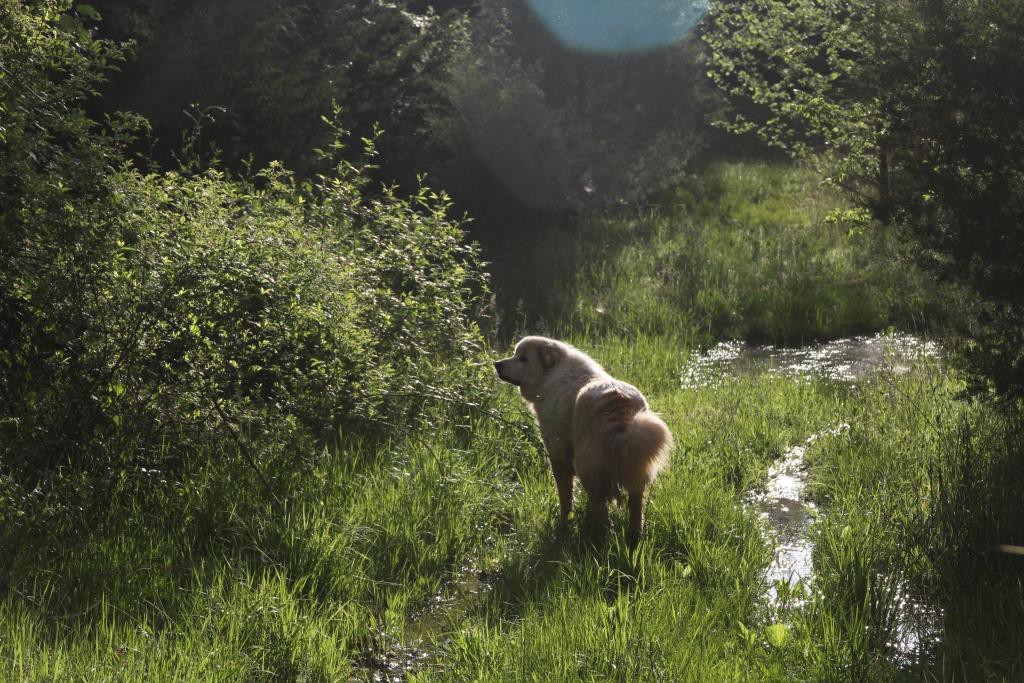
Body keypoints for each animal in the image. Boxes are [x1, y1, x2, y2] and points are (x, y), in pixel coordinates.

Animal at [493, 335, 671, 540]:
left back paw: (600, 535)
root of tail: (617, 403)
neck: (551, 375)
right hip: (636, 465)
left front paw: (564, 521)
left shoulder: (557, 453)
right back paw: (634, 536)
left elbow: (565, 494)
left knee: (601, 508)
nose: (497, 364)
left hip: (586, 466)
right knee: (635, 508)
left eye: (523, 359)